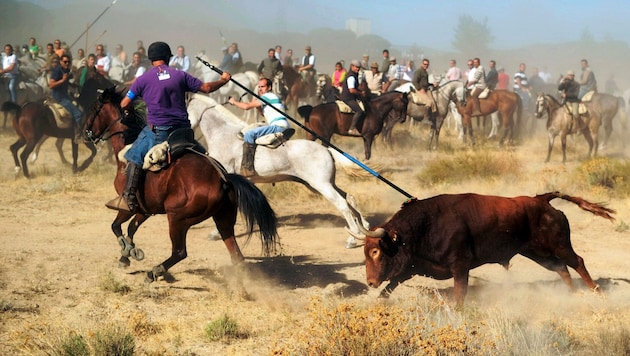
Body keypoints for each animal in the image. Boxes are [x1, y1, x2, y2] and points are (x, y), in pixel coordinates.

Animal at [82, 87, 278, 282]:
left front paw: (125, 251)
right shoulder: (145, 209)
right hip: (223, 219)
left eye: (94, 109)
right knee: (236, 255)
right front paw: (126, 254)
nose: (85, 133)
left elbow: (116, 226)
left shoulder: (127, 205)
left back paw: (155, 271)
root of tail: (224, 179)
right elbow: (131, 228)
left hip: (178, 219)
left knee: (179, 251)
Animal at [188, 92, 372, 248]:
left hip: (322, 185)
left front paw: (215, 233)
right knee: (349, 198)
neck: (222, 133)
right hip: (321, 184)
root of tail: (326, 149)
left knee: (342, 204)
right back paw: (361, 230)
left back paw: (353, 238)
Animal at [356, 192, 616, 306]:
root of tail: (541, 199)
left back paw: (596, 292)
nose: (370, 282)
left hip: (559, 245)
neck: (424, 225)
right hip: (537, 253)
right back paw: (570, 295)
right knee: (561, 268)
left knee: (577, 261)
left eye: (376, 251)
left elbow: (460, 293)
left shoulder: (460, 267)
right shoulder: (413, 268)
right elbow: (390, 286)